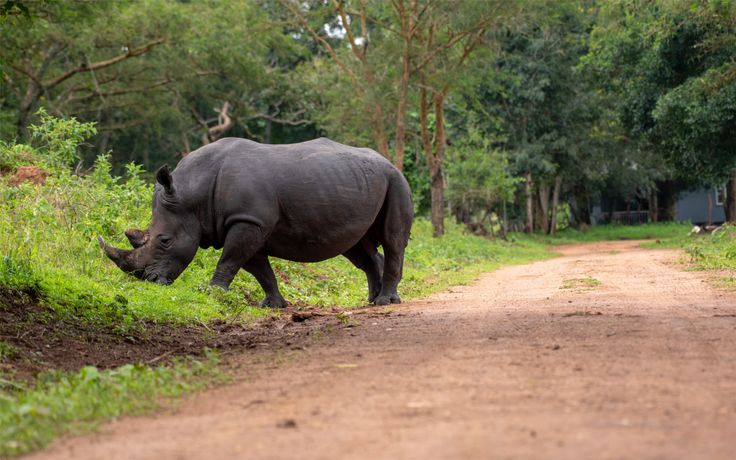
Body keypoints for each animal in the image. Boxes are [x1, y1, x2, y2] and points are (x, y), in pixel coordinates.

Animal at [99, 137, 413, 307]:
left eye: (164, 240)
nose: (147, 280)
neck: (192, 196)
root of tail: (388, 162)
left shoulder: (247, 221)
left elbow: (229, 261)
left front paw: (212, 293)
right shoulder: (248, 223)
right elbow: (258, 269)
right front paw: (273, 305)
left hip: (396, 181)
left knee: (393, 239)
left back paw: (386, 301)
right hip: (360, 184)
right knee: (357, 247)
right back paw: (371, 300)